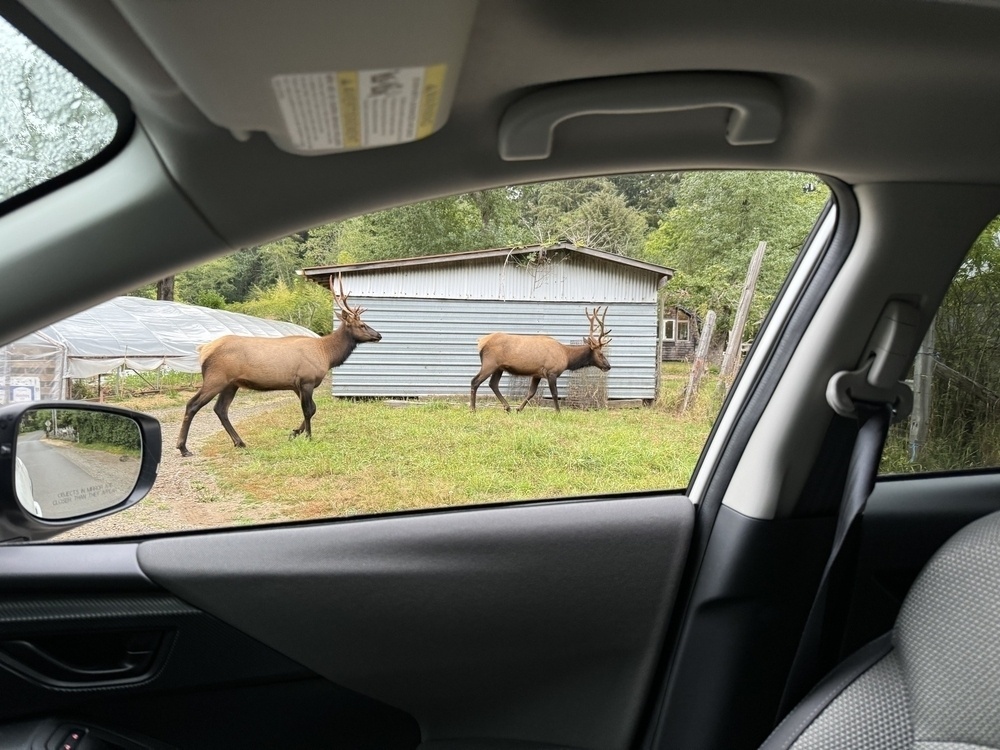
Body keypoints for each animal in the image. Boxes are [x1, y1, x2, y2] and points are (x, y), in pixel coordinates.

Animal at [174, 274, 380, 456]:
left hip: (231, 383)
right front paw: (308, 436)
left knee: (220, 409)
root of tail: (203, 350)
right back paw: (183, 448)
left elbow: (313, 409)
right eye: (362, 325)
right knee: (192, 405)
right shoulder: (306, 380)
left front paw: (294, 432)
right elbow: (308, 410)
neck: (327, 354)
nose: (379, 335)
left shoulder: (296, 384)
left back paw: (239, 442)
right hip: (215, 378)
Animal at [472, 306, 612, 418]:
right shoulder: (551, 371)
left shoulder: (537, 374)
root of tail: (481, 342)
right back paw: (473, 409)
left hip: (499, 368)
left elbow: (531, 393)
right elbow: (554, 393)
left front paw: (519, 409)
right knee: (475, 381)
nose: (608, 366)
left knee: (493, 384)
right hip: (489, 364)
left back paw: (508, 407)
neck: (567, 357)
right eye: (601, 354)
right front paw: (558, 412)